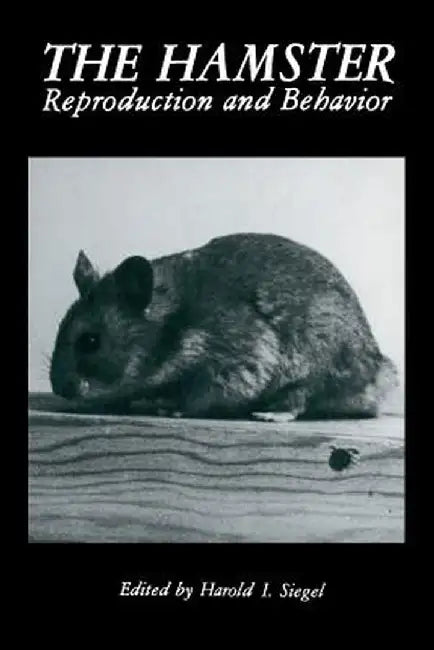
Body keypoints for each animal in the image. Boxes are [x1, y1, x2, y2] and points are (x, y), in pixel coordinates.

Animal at [49, 232, 398, 419]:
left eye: (90, 341)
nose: (59, 389)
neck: (173, 326)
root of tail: (377, 370)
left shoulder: (236, 364)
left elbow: (198, 399)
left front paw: (170, 409)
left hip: (316, 363)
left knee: (301, 398)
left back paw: (270, 413)